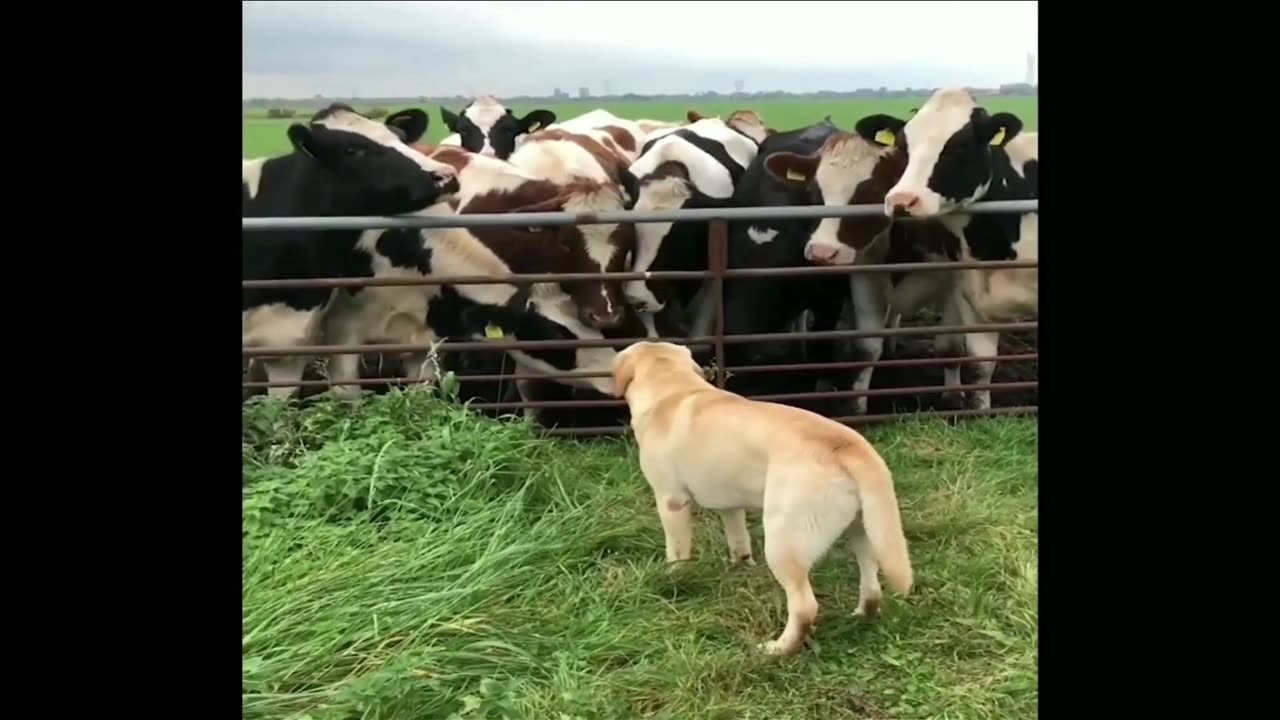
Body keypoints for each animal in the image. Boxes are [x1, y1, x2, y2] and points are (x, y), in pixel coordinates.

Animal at [609, 338, 911, 653]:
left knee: (804, 606)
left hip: (783, 541)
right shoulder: (730, 504)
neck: (673, 387)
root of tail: (845, 445)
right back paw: (862, 615)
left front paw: (674, 578)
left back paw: (777, 649)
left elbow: (677, 552)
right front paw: (741, 567)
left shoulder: (671, 501)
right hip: (864, 531)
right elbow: (738, 540)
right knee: (871, 582)